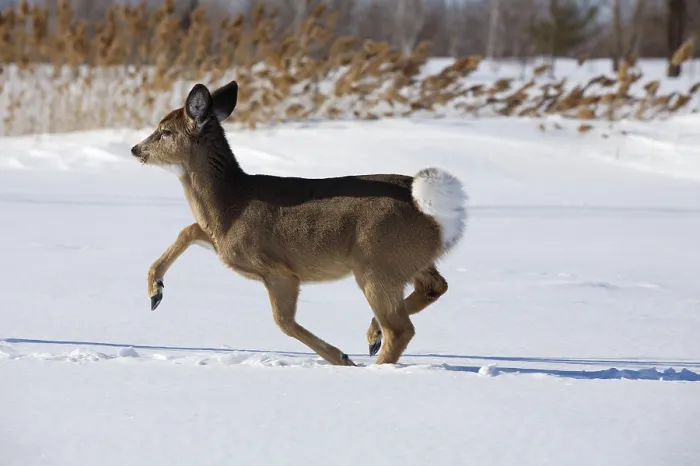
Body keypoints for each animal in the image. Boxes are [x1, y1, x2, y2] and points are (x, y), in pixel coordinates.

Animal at [130, 79, 468, 367]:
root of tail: (441, 207)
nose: (136, 149)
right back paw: (372, 337)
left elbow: (283, 322)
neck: (229, 207)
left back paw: (372, 361)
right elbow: (188, 229)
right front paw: (155, 292)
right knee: (435, 287)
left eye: (165, 131)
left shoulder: (278, 270)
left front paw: (341, 358)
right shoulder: (217, 239)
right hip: (407, 259)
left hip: (378, 263)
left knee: (400, 329)